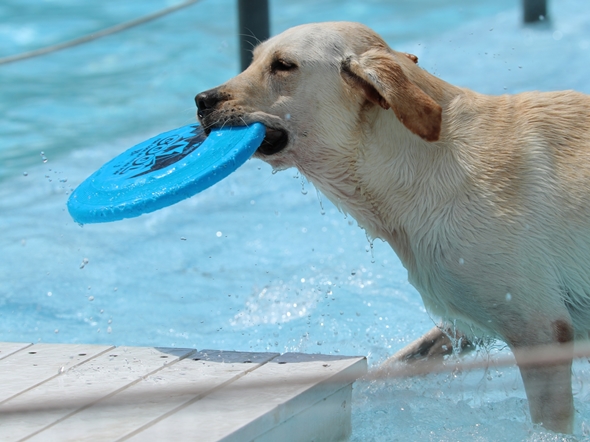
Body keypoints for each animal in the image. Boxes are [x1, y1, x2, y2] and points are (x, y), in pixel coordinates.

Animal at [197, 22, 590, 434]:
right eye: (253, 60)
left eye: (283, 65)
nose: (201, 100)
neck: (426, 163)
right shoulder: (471, 322)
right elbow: (402, 362)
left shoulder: (540, 331)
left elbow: (549, 422)